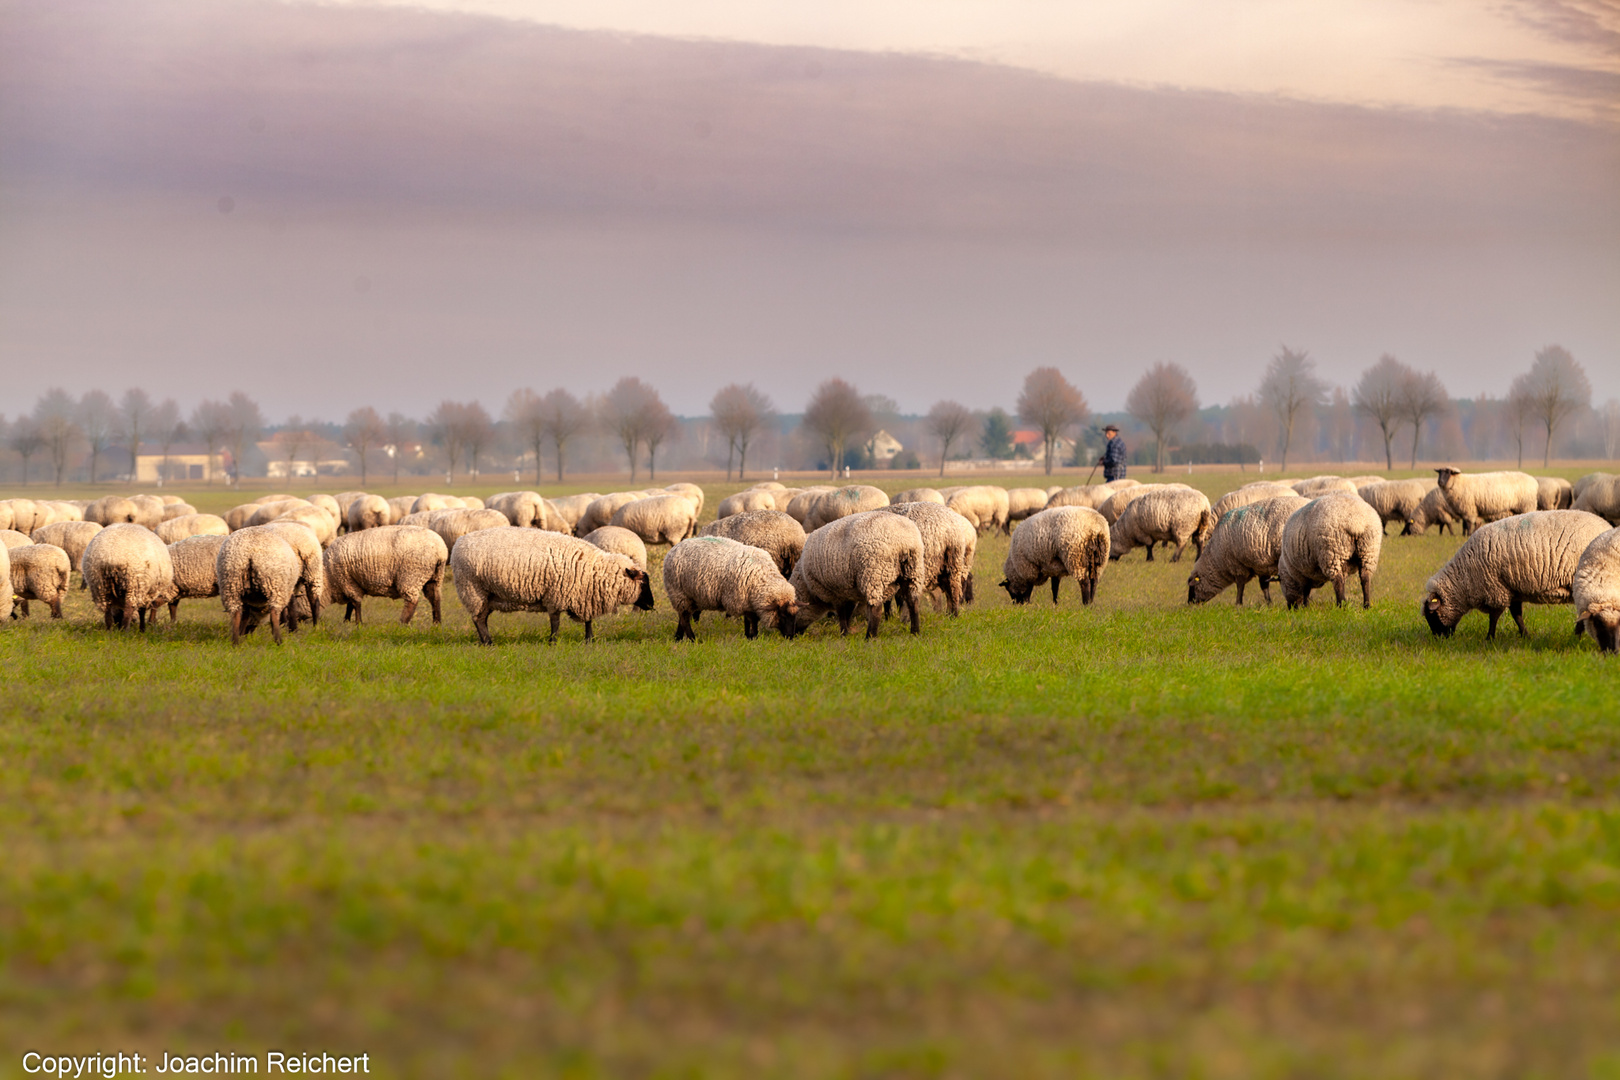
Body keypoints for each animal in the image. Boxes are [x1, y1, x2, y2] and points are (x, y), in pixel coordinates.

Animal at [322, 524, 450, 625]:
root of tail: (440, 550)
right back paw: (436, 623)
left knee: (412, 601)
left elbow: (355, 603)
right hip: (435, 577)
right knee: (435, 599)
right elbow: (350, 605)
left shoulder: (346, 581)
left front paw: (357, 623)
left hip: (411, 575)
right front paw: (347, 621)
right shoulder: (349, 583)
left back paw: (402, 623)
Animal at [450, 531, 651, 647]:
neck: (595, 569)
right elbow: (555, 622)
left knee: (481, 618)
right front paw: (553, 642)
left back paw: (485, 641)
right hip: (473, 589)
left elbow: (588, 620)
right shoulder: (557, 595)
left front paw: (590, 640)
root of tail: (459, 542)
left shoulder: (585, 596)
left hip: (487, 595)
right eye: (643, 583)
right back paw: (488, 642)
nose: (651, 605)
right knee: (479, 619)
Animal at [660, 534, 800, 641]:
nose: (790, 637)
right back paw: (693, 640)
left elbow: (748, 620)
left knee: (683, 617)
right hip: (679, 593)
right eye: (782, 615)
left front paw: (748, 636)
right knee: (684, 619)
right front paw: (753, 636)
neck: (762, 578)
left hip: (690, 597)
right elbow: (752, 620)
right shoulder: (740, 600)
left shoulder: (748, 600)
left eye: (794, 616)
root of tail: (674, 548)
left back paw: (678, 638)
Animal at [793, 508, 933, 637]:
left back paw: (870, 637)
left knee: (876, 608)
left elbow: (842, 613)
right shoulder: (847, 591)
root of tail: (904, 541)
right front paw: (847, 632)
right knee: (913, 602)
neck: (806, 584)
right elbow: (848, 612)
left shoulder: (835, 591)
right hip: (913, 571)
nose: (792, 636)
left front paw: (843, 633)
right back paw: (915, 632)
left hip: (874, 573)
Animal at [1419, 511, 1607, 637]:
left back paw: (1577, 634)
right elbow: (1517, 615)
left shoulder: (1495, 589)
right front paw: (1525, 635)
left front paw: (1490, 638)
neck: (1464, 579)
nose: (1439, 639)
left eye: (1431, 615)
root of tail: (1606, 526)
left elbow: (1494, 616)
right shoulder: (1512, 588)